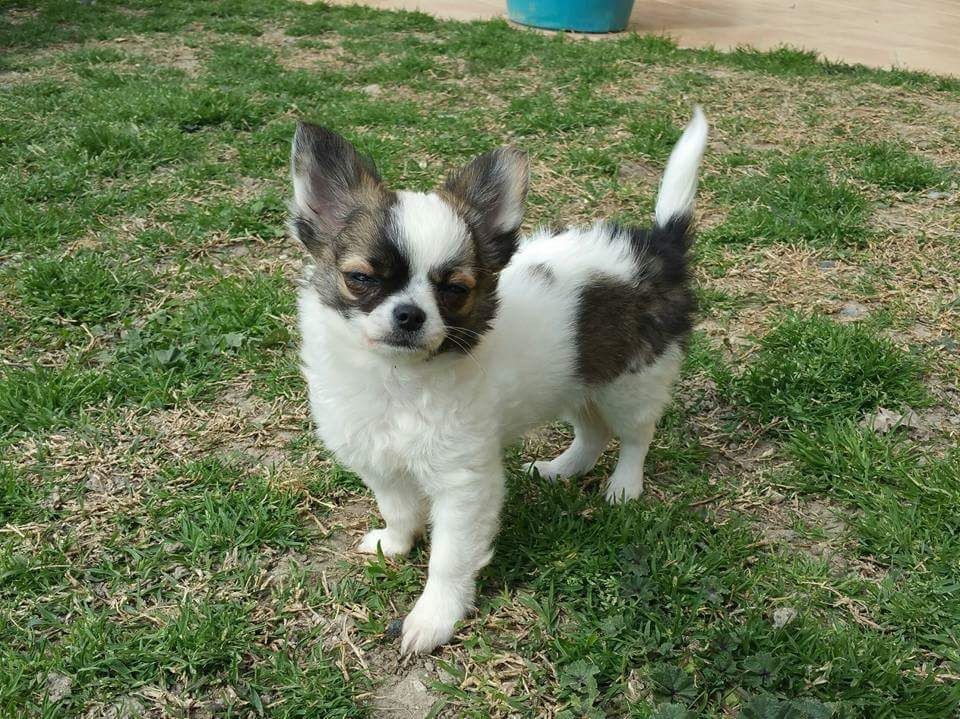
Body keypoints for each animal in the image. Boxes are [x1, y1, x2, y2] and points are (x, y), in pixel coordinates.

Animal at [290, 107, 708, 654]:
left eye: (454, 290)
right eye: (360, 278)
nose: (409, 315)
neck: (398, 379)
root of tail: (657, 249)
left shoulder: (464, 483)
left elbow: (449, 557)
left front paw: (433, 618)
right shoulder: (377, 459)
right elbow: (398, 509)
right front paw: (395, 544)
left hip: (630, 381)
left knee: (636, 435)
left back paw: (623, 486)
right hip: (575, 378)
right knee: (592, 433)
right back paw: (560, 469)